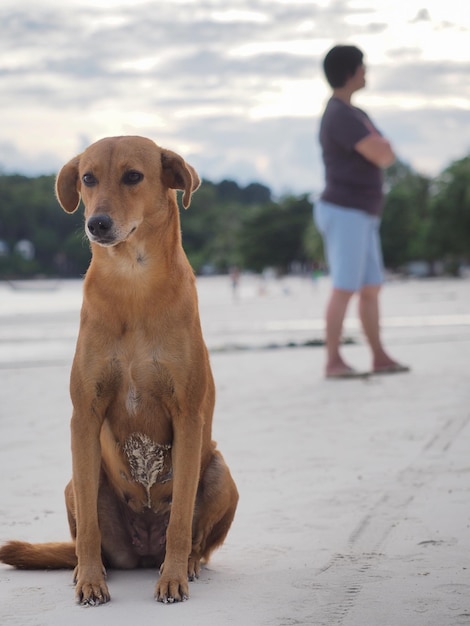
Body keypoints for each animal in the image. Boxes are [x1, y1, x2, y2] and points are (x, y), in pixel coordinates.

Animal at [0, 135, 239, 600]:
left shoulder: (188, 416)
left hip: (222, 472)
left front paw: (173, 576)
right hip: (77, 483)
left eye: (133, 176)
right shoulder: (84, 416)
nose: (97, 223)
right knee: (86, 530)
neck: (132, 281)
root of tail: (143, 551)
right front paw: (91, 580)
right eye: (88, 178)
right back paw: (85, 567)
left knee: (199, 539)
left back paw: (188, 564)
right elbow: (89, 529)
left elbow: (181, 517)